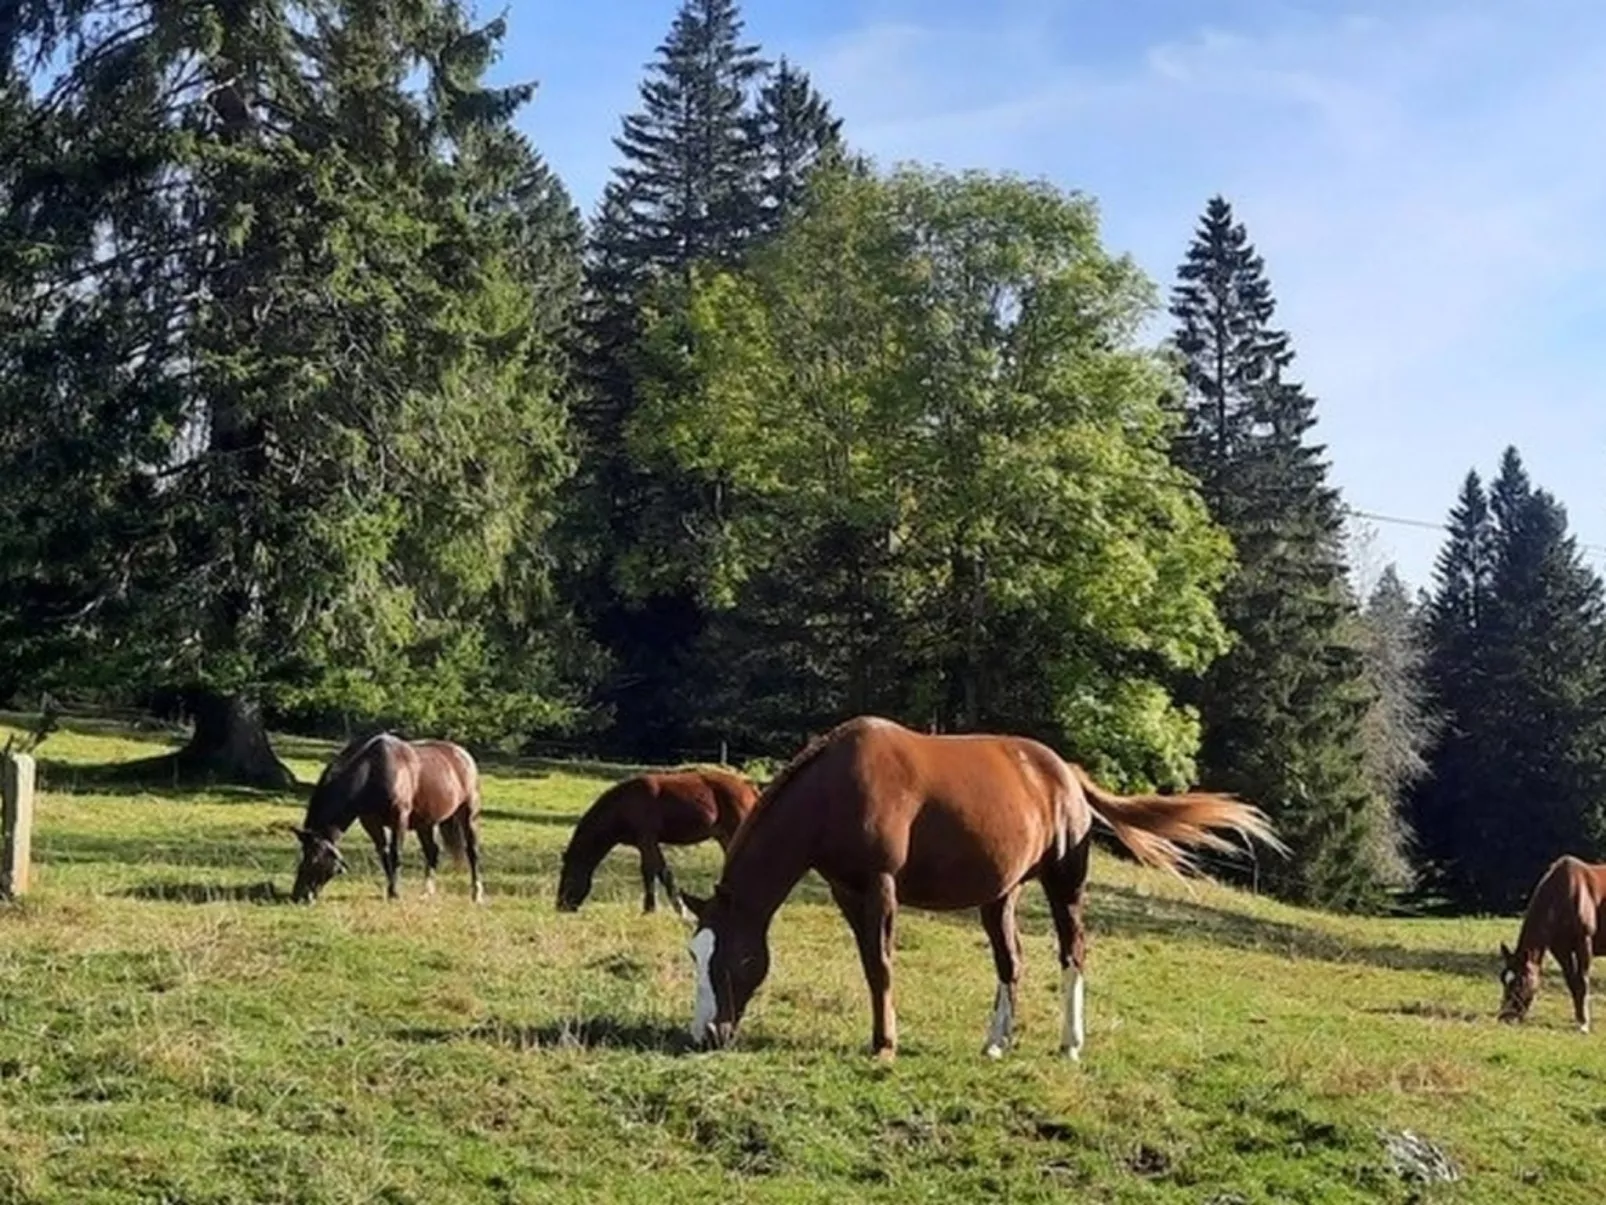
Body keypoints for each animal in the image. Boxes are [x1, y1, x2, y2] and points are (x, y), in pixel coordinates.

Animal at [292, 726, 481, 906]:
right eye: (302, 857)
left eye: (314, 860)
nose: (298, 896)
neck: (373, 771)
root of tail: (463, 755)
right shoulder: (371, 822)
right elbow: (384, 854)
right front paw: (390, 891)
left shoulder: (399, 818)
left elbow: (395, 854)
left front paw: (395, 893)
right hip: (425, 823)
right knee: (432, 852)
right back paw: (426, 893)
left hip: (467, 814)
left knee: (472, 851)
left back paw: (477, 894)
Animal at [562, 774, 761, 912]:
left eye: (567, 876)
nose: (561, 905)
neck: (625, 804)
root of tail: (749, 787)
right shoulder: (648, 843)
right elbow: (662, 872)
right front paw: (678, 908)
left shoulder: (646, 840)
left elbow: (649, 871)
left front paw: (651, 909)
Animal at [684, 723, 1284, 1060]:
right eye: (695, 955)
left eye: (735, 956)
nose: (704, 1034)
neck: (835, 789)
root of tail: (1064, 773)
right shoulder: (847, 891)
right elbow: (870, 964)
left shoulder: (880, 887)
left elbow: (881, 965)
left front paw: (884, 1046)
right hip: (1001, 896)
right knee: (1010, 962)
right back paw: (997, 1041)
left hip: (1065, 884)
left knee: (1073, 952)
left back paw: (1071, 1044)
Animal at [1490, 854, 1606, 1034]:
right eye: (1503, 979)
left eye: (1521, 981)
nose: (1506, 1017)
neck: (1566, 894)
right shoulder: (1560, 949)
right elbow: (1572, 982)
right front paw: (1579, 1018)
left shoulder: (1584, 943)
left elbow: (1582, 981)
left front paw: (1584, 1024)